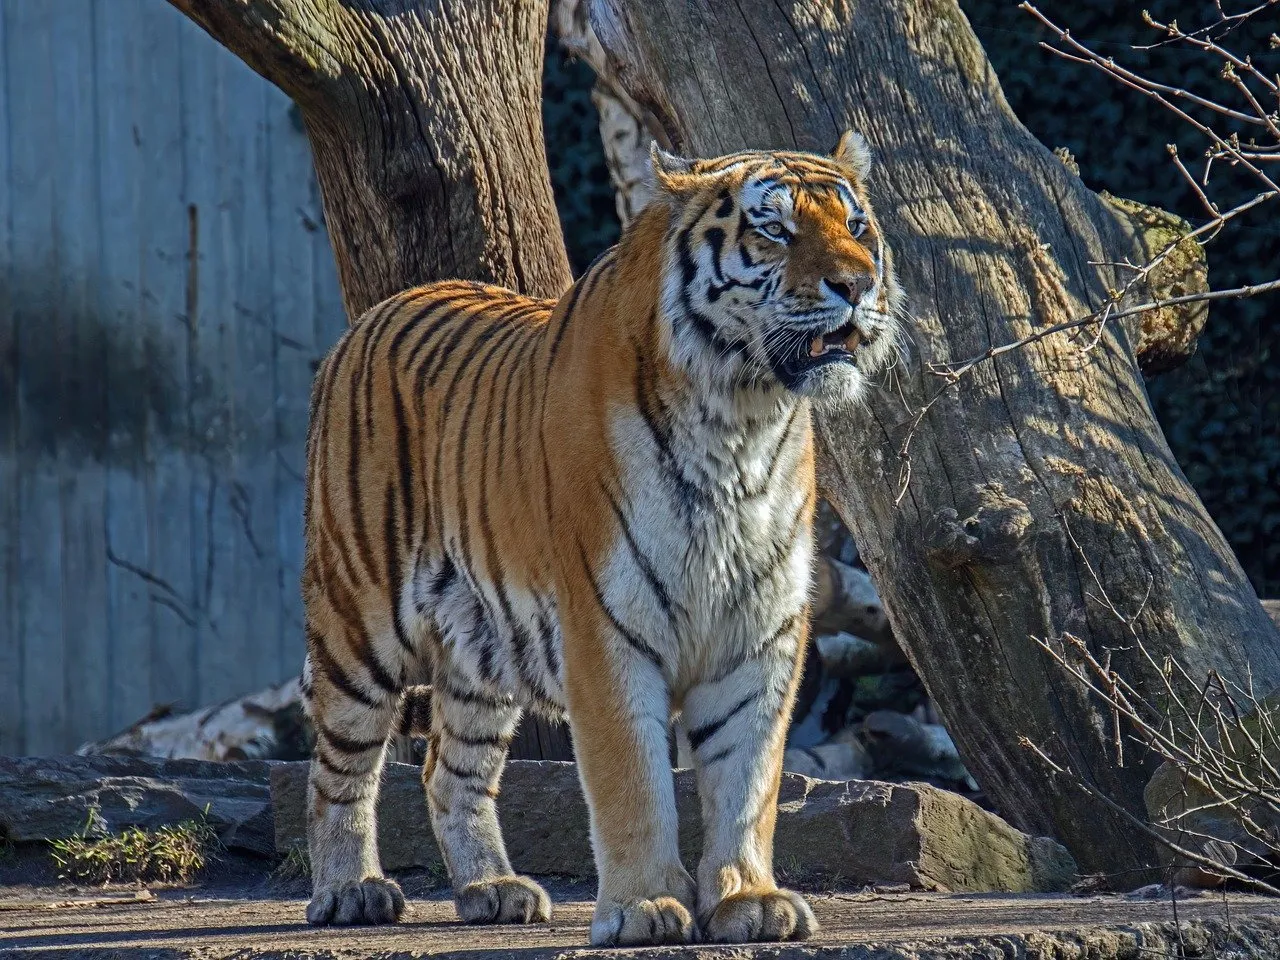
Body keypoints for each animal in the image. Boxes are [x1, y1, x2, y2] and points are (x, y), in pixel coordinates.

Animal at [299, 131, 903, 946]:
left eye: (858, 226)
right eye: (775, 229)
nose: (857, 285)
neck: (742, 418)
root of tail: (370, 317)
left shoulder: (759, 632)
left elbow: (747, 780)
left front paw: (748, 900)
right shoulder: (609, 628)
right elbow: (633, 780)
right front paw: (646, 907)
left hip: (479, 649)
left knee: (449, 770)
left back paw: (494, 890)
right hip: (359, 627)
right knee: (339, 768)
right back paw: (350, 890)